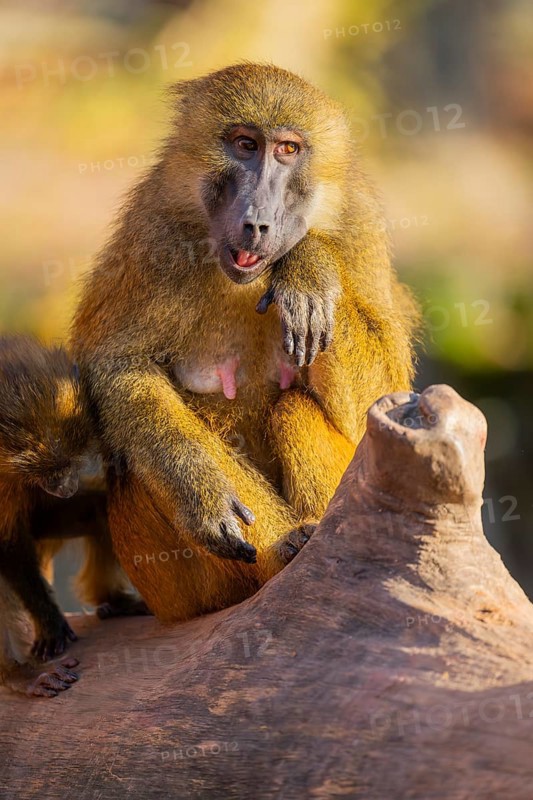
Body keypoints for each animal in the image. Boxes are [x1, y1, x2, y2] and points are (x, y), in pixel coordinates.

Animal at [0, 335, 146, 695]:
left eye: (70, 465)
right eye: (51, 473)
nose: (67, 488)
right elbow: (5, 547)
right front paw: (48, 621)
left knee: (98, 510)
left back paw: (112, 601)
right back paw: (17, 676)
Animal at [71, 63, 419, 623]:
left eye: (288, 149)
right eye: (245, 144)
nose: (257, 222)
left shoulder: (359, 223)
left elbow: (384, 400)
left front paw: (308, 264)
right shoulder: (154, 228)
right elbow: (119, 365)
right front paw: (203, 494)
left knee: (294, 410)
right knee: (134, 461)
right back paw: (285, 550)